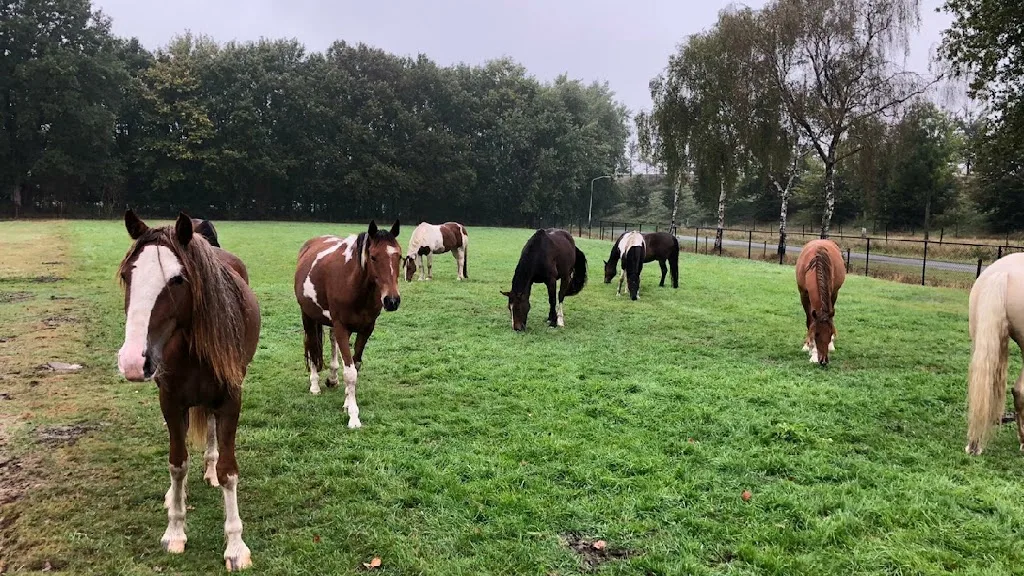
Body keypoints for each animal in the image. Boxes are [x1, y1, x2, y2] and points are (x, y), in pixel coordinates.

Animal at [116, 210, 261, 572]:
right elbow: (177, 464)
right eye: (127, 275)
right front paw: (175, 531)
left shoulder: (230, 400)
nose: (132, 361)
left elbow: (228, 471)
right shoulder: (170, 402)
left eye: (178, 279)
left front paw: (235, 546)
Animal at [294, 220, 401, 429]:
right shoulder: (342, 327)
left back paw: (333, 377)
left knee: (331, 342)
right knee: (311, 345)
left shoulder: (366, 329)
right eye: (373, 257)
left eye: (399, 256)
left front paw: (346, 401)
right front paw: (353, 416)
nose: (392, 301)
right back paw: (315, 384)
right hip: (308, 315)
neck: (355, 285)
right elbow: (350, 373)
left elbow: (355, 365)